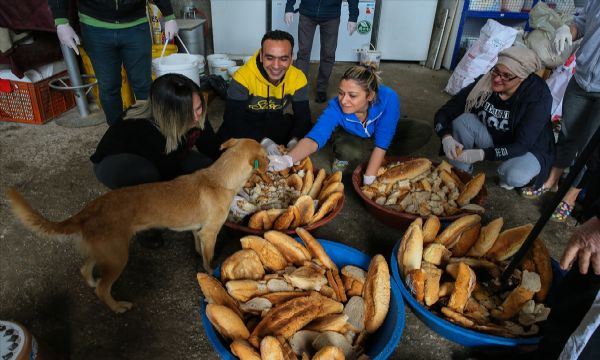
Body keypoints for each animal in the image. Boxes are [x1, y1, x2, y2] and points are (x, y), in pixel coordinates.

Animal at [7, 138, 268, 312]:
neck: (219, 178)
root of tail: (88, 210)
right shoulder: (210, 232)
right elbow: (208, 257)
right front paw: (209, 269)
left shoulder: (198, 231)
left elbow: (198, 247)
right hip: (118, 257)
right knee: (103, 289)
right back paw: (117, 307)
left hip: (103, 251)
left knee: (85, 270)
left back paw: (92, 282)